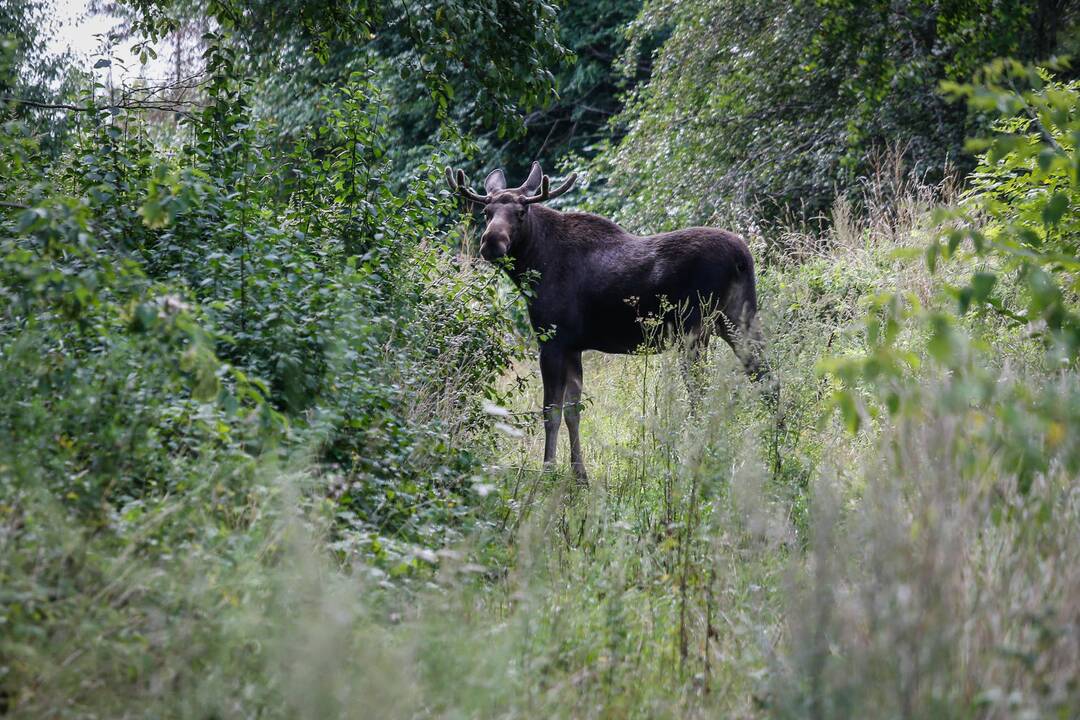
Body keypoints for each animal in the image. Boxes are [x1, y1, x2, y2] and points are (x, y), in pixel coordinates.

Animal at [447, 160, 768, 481]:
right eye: (486, 212)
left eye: (520, 212)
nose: (491, 242)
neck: (534, 265)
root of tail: (742, 257)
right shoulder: (573, 346)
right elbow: (573, 411)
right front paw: (579, 474)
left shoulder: (552, 341)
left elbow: (551, 411)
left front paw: (548, 470)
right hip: (737, 320)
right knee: (762, 374)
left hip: (697, 329)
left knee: (702, 393)